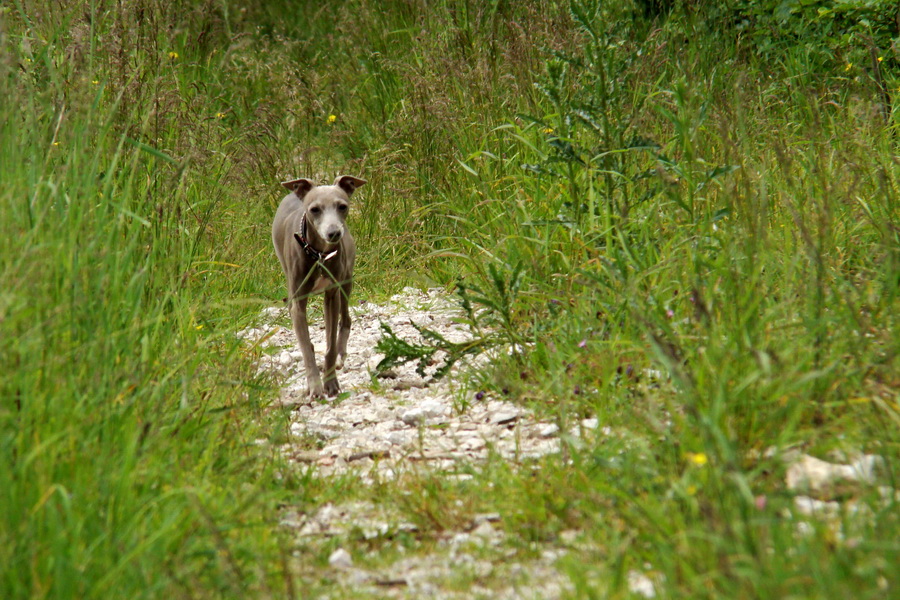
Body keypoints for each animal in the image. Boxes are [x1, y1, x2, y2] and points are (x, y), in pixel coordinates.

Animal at [270, 173, 366, 398]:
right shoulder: (297, 303)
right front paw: (314, 385)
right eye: (314, 209)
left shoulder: (331, 296)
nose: (334, 233)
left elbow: (330, 346)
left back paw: (340, 355)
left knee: (346, 319)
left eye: (342, 206)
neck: (319, 254)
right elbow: (306, 347)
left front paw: (330, 382)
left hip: (346, 282)